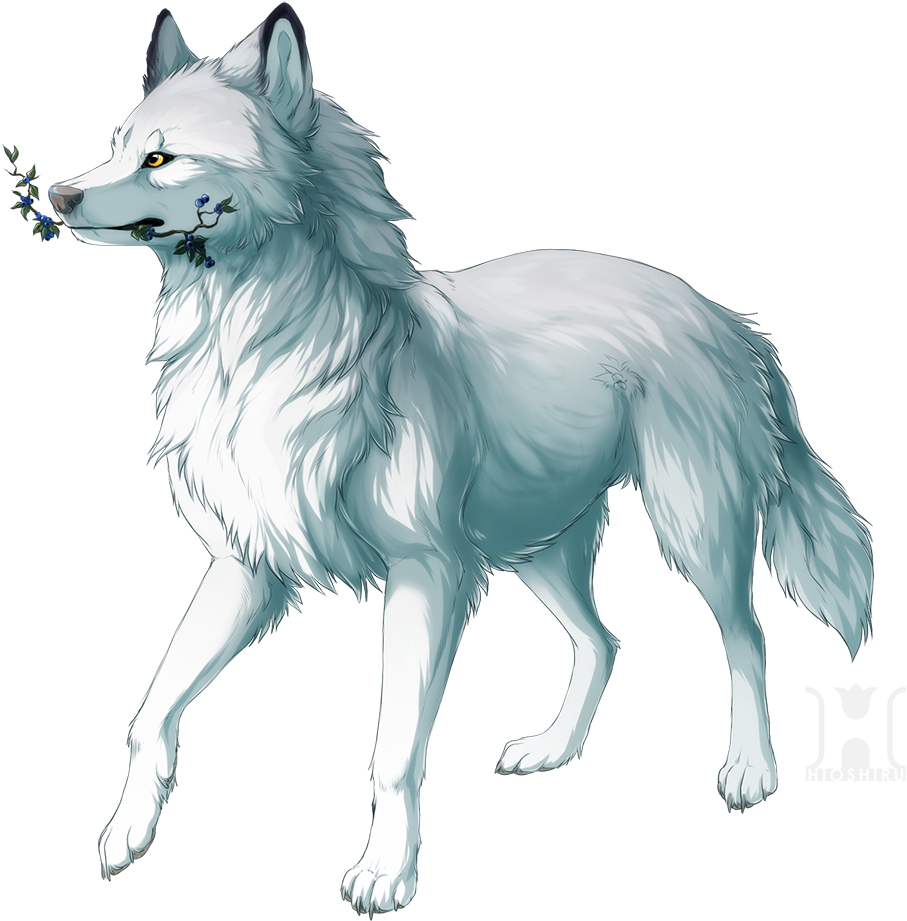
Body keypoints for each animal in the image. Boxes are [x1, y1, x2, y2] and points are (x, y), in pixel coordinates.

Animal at [52, 4, 873, 912]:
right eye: (118, 148)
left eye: (161, 158)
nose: (57, 195)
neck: (264, 347)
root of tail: (726, 316)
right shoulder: (245, 567)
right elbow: (155, 706)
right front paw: (127, 831)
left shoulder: (427, 574)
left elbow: (394, 750)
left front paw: (386, 871)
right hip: (539, 551)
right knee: (603, 640)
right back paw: (553, 748)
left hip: (694, 529)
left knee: (746, 637)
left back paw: (750, 769)